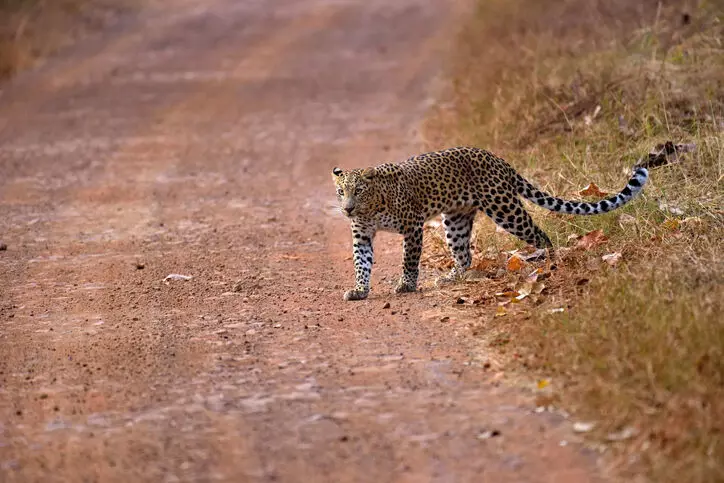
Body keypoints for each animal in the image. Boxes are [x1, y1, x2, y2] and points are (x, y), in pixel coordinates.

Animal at [330, 142, 692, 302]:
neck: (370, 208)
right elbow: (362, 263)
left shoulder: (412, 225)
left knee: (541, 235)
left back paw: (548, 262)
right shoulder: (361, 235)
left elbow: (409, 259)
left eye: (359, 190)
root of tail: (498, 160)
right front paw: (359, 290)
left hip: (505, 208)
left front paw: (406, 285)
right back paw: (451, 277)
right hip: (456, 219)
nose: (347, 209)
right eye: (340, 191)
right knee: (464, 255)